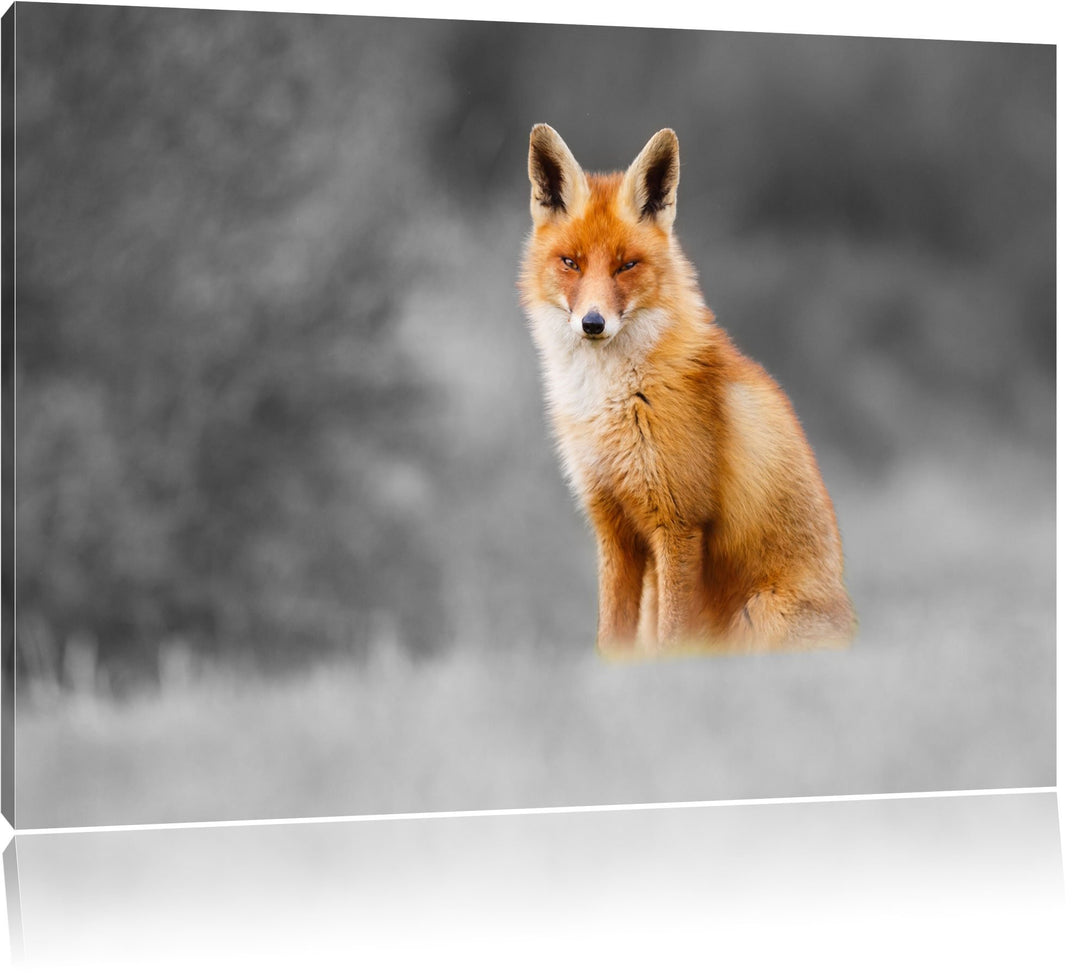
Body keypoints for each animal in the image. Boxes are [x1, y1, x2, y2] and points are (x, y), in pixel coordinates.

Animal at [519, 123, 856, 656]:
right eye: (570, 262)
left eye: (626, 266)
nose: (592, 323)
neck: (613, 401)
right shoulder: (613, 526)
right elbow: (611, 643)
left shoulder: (678, 524)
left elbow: (671, 643)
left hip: (759, 614)